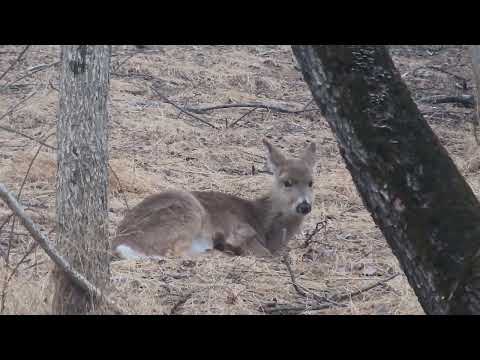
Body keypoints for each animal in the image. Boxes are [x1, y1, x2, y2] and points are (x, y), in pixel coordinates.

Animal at [110, 138, 316, 258]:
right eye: (287, 182)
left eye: (311, 182)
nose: (304, 206)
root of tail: (122, 244)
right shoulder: (241, 227)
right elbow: (262, 251)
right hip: (188, 211)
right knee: (175, 252)